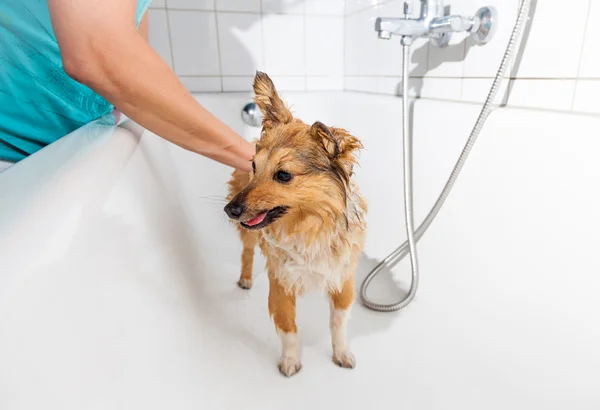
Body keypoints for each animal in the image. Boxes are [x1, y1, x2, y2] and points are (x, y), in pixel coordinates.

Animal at [224, 72, 368, 376]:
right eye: (254, 166)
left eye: (283, 175)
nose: (229, 209)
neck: (310, 226)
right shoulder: (281, 283)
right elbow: (288, 328)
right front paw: (290, 361)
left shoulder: (342, 278)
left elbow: (338, 323)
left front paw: (342, 353)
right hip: (249, 237)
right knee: (247, 251)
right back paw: (245, 278)